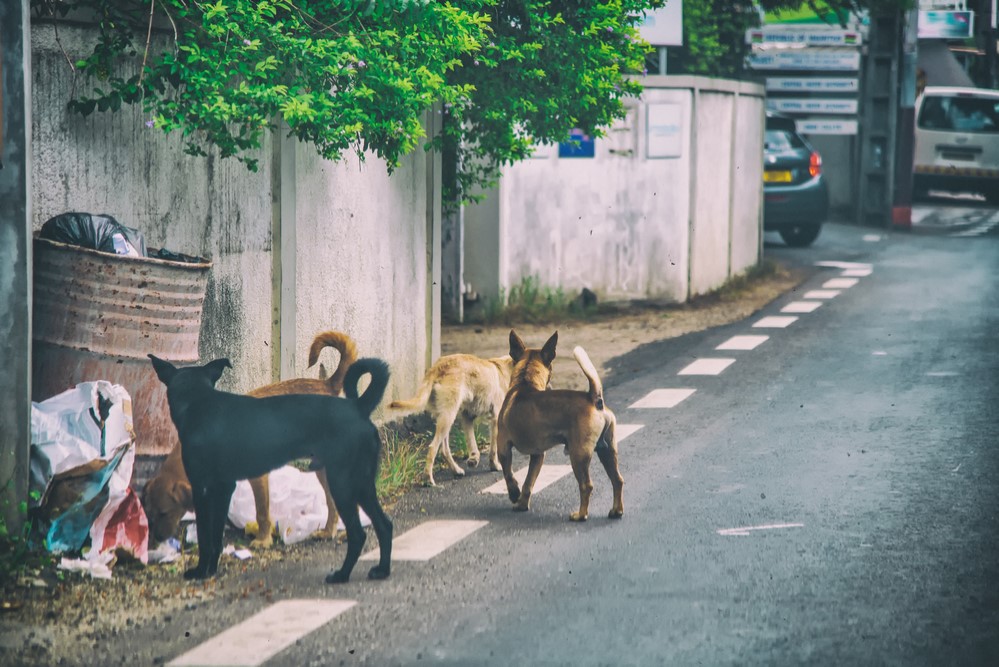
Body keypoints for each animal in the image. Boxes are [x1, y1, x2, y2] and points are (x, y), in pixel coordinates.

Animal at [141, 332, 360, 544]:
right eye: (149, 514)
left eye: (164, 513)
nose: (155, 539)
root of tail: (327, 385)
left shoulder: (258, 477)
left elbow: (262, 512)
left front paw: (263, 540)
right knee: (333, 502)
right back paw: (330, 531)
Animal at [148, 354, 394, 584]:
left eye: (163, 512)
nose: (157, 537)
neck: (200, 403)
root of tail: (358, 407)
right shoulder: (223, 489)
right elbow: (216, 538)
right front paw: (210, 570)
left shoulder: (204, 490)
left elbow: (206, 538)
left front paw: (200, 571)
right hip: (361, 483)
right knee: (384, 525)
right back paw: (382, 570)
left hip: (343, 484)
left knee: (358, 534)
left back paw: (342, 575)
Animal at [388, 354, 516, 486]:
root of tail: (438, 366)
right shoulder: (495, 420)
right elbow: (494, 448)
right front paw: (494, 465)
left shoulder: (467, 417)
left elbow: (472, 442)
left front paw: (474, 459)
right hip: (448, 415)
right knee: (433, 447)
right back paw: (428, 478)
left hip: (445, 417)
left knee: (444, 450)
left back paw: (456, 470)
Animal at [494, 330, 620, 520]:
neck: (525, 382)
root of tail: (595, 399)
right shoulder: (538, 455)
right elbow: (529, 482)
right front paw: (522, 504)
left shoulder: (503, 447)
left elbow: (509, 474)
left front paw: (514, 494)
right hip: (607, 451)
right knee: (617, 480)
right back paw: (616, 511)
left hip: (578, 455)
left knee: (586, 485)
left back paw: (580, 515)